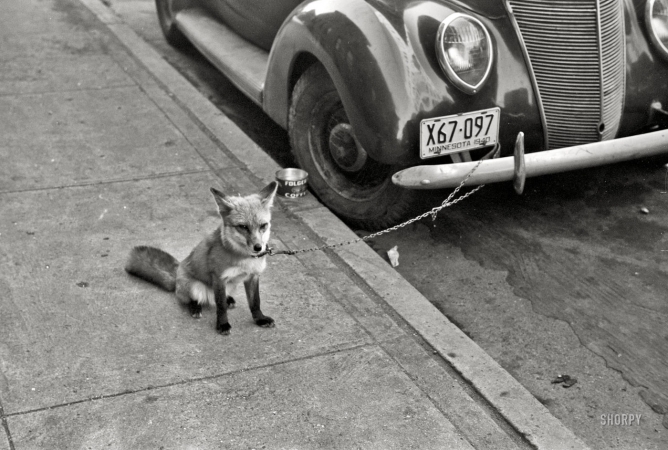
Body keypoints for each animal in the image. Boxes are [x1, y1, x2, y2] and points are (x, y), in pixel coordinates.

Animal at [124, 182, 278, 335]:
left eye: (263, 225)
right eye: (243, 227)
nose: (258, 247)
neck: (245, 259)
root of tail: (177, 275)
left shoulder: (253, 276)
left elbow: (255, 302)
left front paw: (260, 319)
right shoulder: (219, 277)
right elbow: (221, 306)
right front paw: (222, 324)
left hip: (230, 285)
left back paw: (228, 299)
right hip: (194, 286)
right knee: (193, 299)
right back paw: (195, 307)